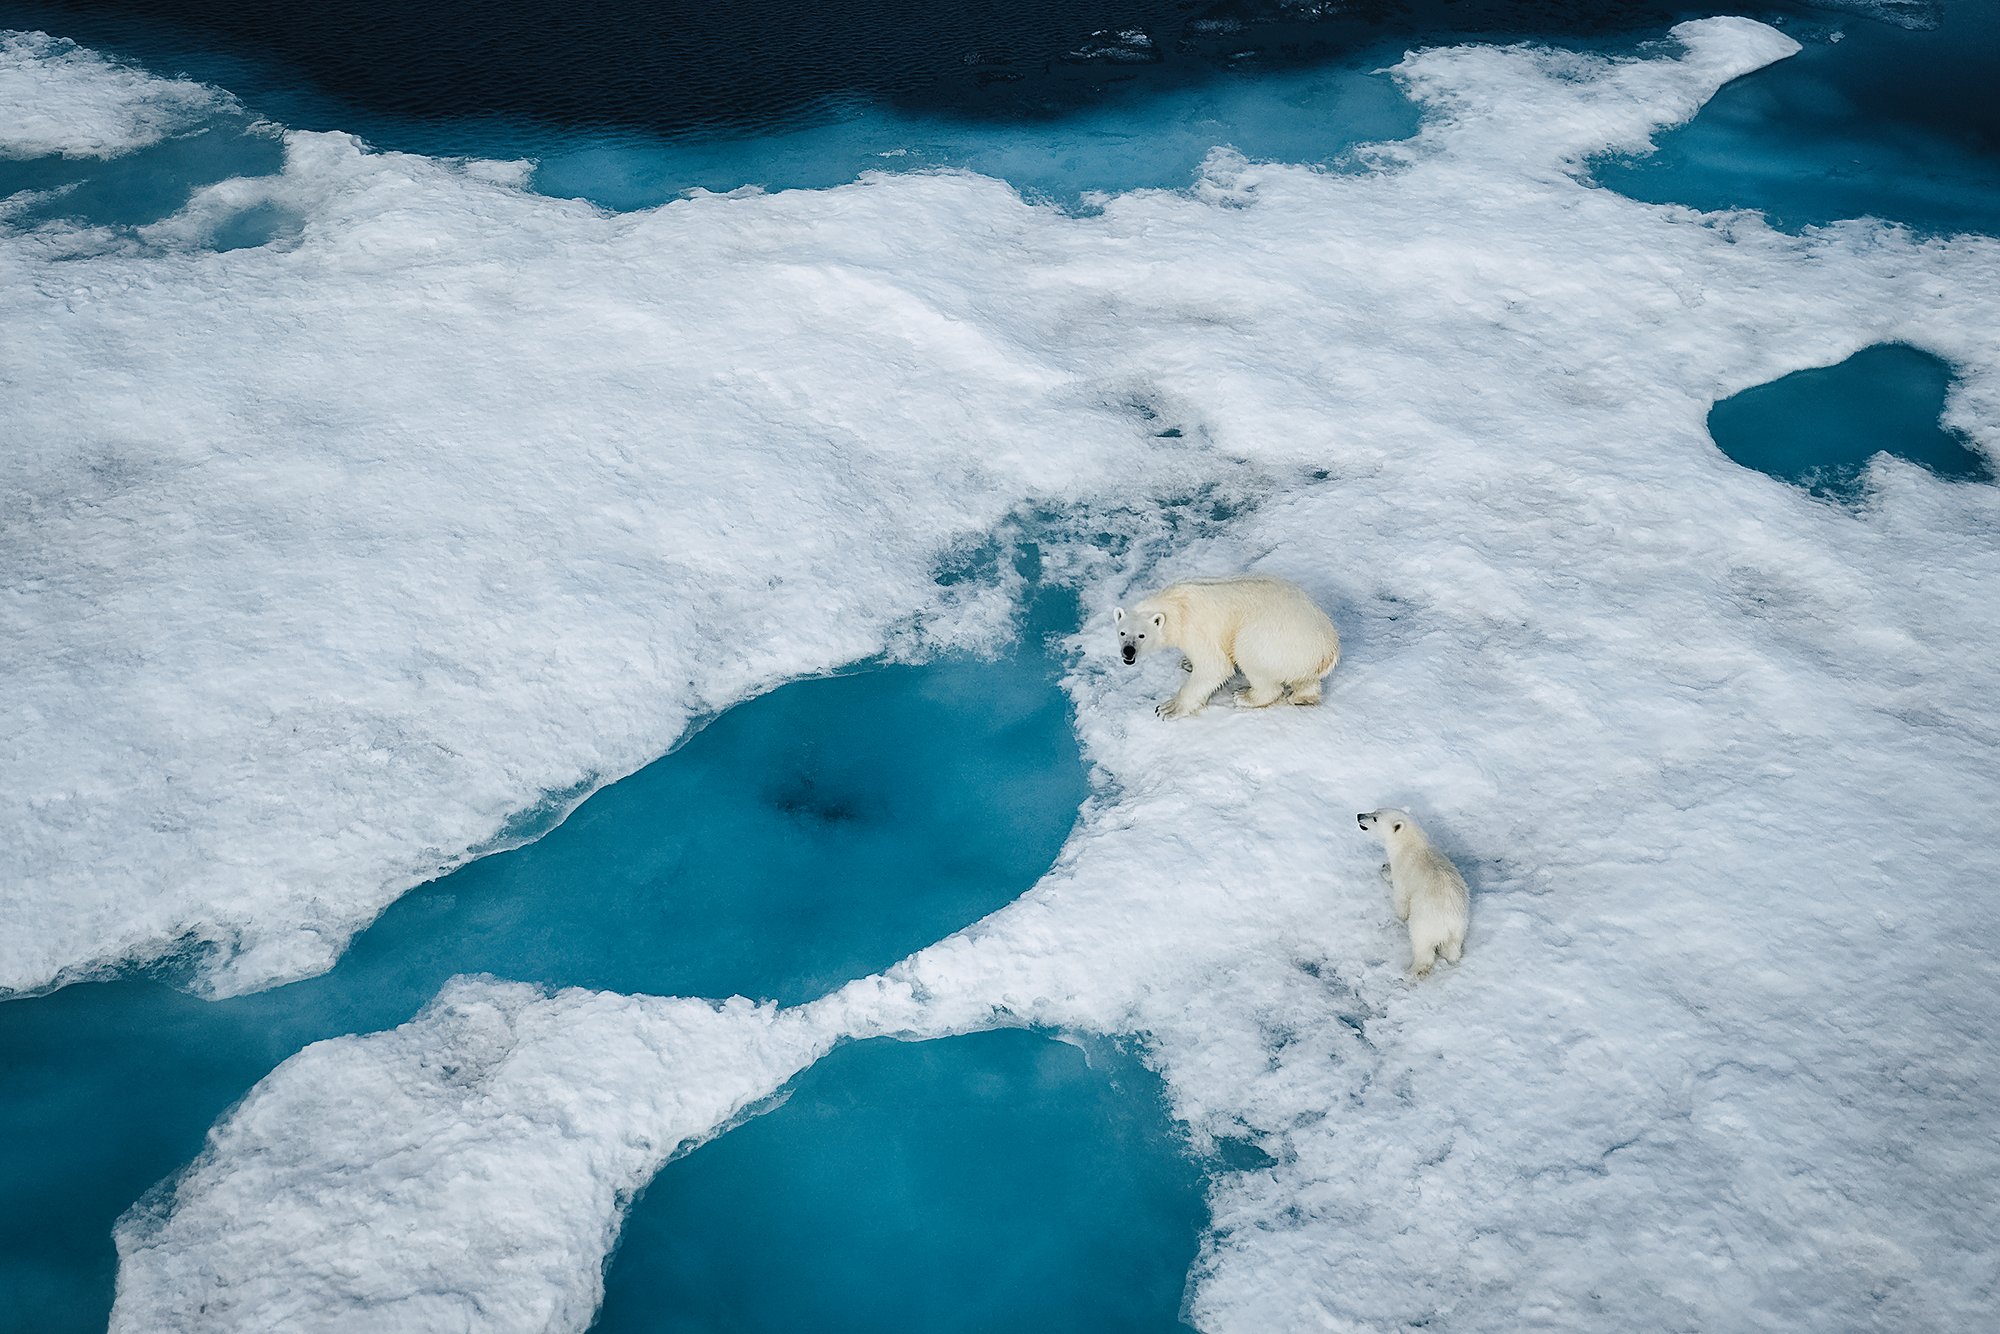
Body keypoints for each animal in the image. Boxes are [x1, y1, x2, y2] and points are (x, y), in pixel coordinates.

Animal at [1114, 575, 1341, 720]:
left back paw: (1245, 696)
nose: (1128, 651)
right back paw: (1304, 698)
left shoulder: (1196, 628)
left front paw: (1169, 708)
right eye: (1122, 633)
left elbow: (1214, 667)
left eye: (1142, 635)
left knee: (1250, 654)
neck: (1175, 606)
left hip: (1272, 639)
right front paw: (1187, 662)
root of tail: (1328, 651)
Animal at [1357, 808, 1469, 978]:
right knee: (1452, 949)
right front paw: (1385, 867)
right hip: (1459, 929)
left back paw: (1412, 970)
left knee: (1422, 946)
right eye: (1375, 810)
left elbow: (1401, 897)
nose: (1359, 816)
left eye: (1375, 818)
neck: (1410, 845)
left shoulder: (1404, 870)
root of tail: (1449, 920)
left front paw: (1385, 871)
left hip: (1425, 922)